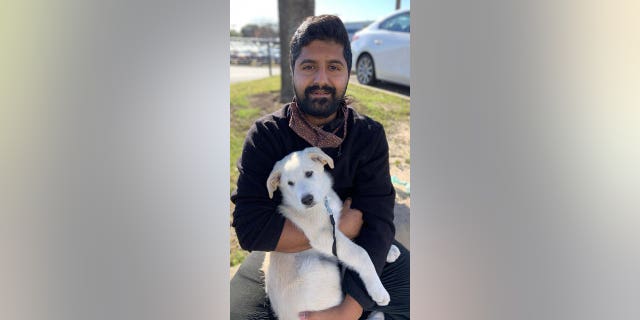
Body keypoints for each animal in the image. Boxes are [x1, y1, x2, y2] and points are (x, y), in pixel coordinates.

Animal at [262, 147, 398, 320]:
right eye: (290, 184)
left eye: (309, 173)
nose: (307, 200)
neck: (324, 202)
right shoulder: (322, 235)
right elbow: (360, 252)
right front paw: (378, 290)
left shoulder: (336, 226)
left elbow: (355, 241)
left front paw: (389, 250)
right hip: (323, 270)